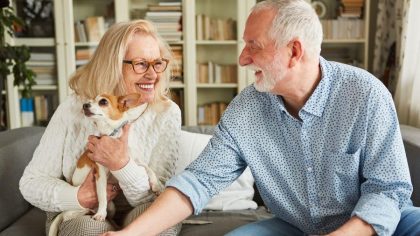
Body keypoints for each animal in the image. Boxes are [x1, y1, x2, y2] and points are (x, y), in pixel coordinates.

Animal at [48, 93, 162, 236]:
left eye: (103, 102)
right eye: (89, 101)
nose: (85, 105)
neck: (112, 135)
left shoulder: (134, 162)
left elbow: (149, 169)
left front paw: (156, 185)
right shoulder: (100, 174)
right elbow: (102, 195)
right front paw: (101, 214)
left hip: (112, 207)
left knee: (108, 217)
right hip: (82, 207)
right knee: (69, 215)